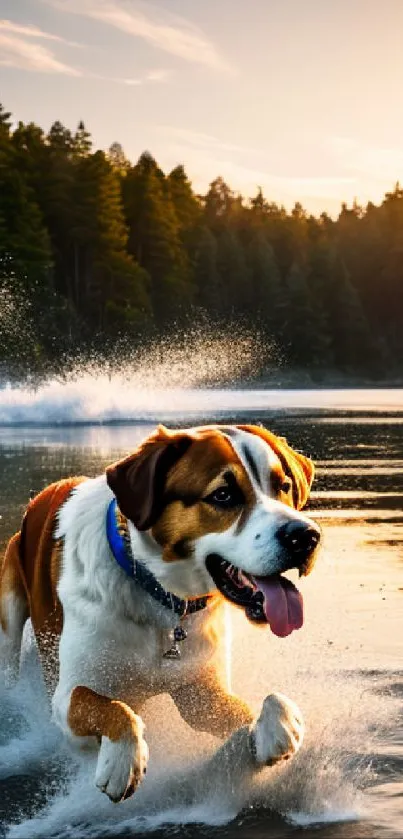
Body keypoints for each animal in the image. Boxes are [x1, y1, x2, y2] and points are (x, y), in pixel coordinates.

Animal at [0, 424, 322, 804]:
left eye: (282, 486)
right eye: (223, 495)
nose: (305, 536)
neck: (163, 599)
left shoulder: (200, 693)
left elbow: (267, 702)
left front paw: (279, 729)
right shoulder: (66, 700)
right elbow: (109, 706)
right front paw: (122, 762)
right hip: (9, 617)